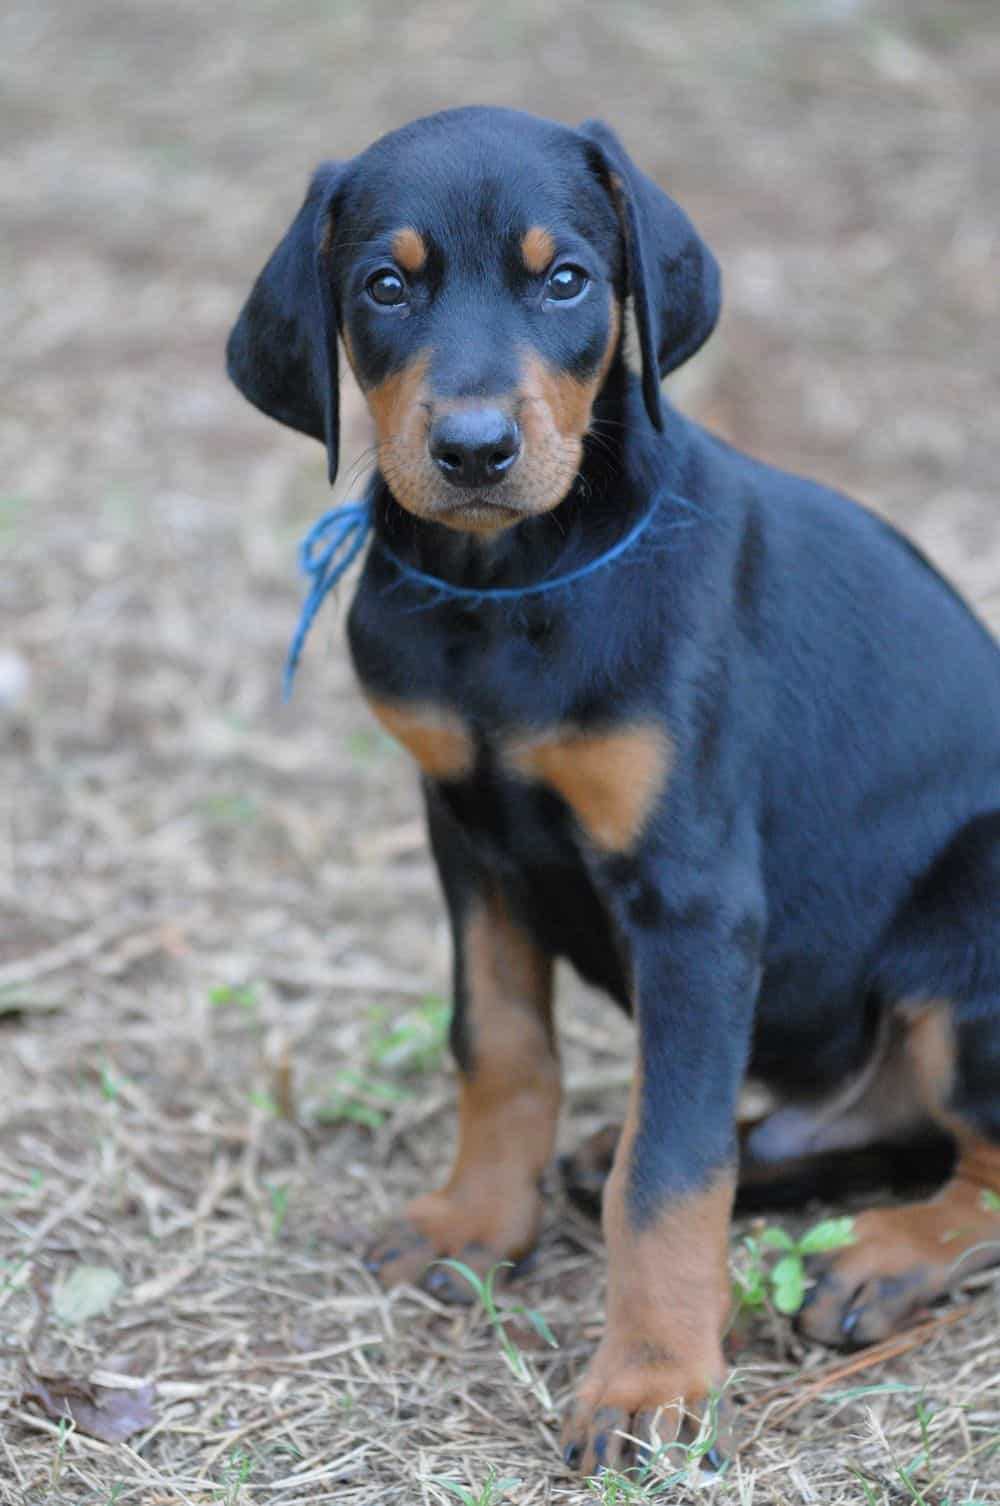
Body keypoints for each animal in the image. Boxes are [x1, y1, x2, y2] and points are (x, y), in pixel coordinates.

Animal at [225, 111, 1000, 1475]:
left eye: (567, 281)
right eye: (384, 286)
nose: (473, 451)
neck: (511, 588)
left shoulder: (693, 900)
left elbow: (671, 1166)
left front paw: (648, 1383)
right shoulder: (465, 835)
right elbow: (499, 1044)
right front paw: (478, 1219)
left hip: (976, 907)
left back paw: (885, 1257)